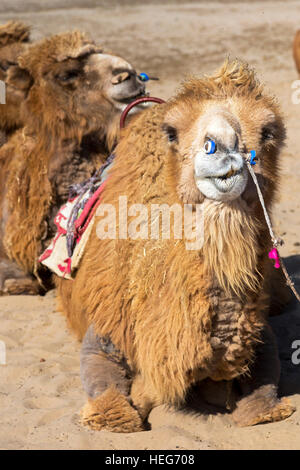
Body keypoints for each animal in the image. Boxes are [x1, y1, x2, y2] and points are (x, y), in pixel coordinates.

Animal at [56, 59, 296, 434]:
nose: (220, 149)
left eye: (268, 132)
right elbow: (111, 402)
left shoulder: (259, 331)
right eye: (171, 132)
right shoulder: (106, 326)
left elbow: (262, 396)